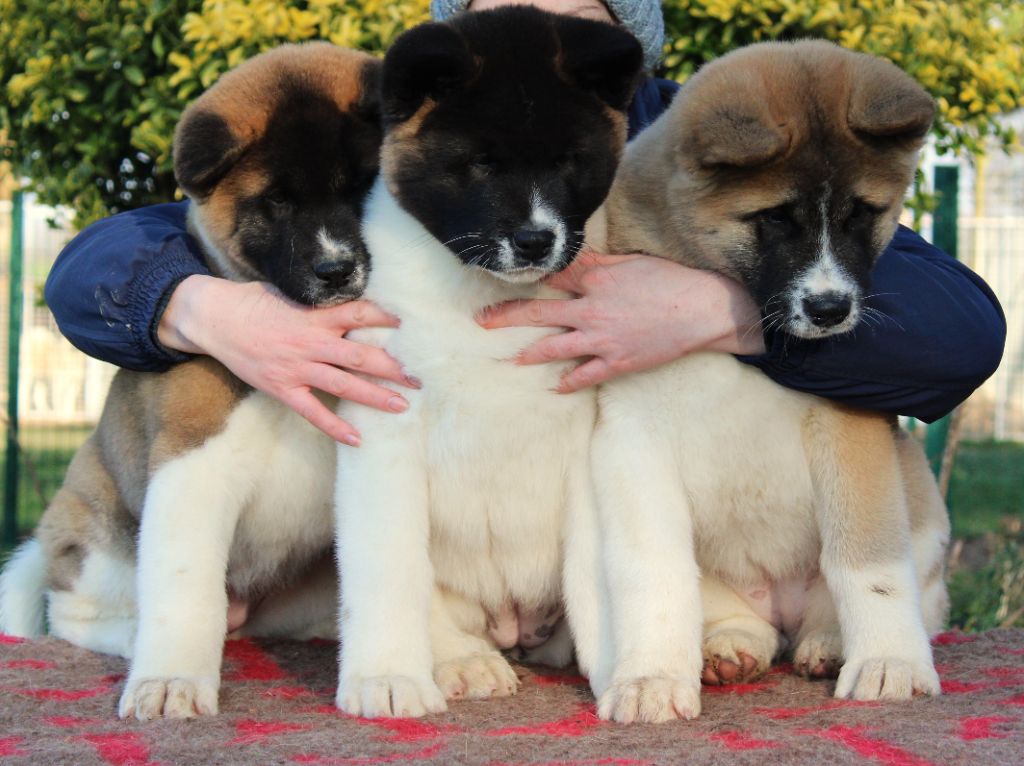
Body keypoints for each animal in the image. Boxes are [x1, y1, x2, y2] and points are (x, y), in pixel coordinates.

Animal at [0, 41, 382, 720]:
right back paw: (133, 641)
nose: (337, 270)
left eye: (364, 185)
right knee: (73, 610)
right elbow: (185, 589)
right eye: (277, 203)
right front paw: (171, 681)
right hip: (100, 542)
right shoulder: (192, 462)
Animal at [577, 40, 950, 725]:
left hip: (919, 500)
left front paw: (890, 664)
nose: (831, 310)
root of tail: (781, 606)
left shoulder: (849, 430)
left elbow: (869, 563)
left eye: (863, 215)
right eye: (774, 219)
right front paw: (650, 679)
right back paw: (730, 646)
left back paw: (832, 643)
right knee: (737, 618)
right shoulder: (632, 440)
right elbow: (651, 570)